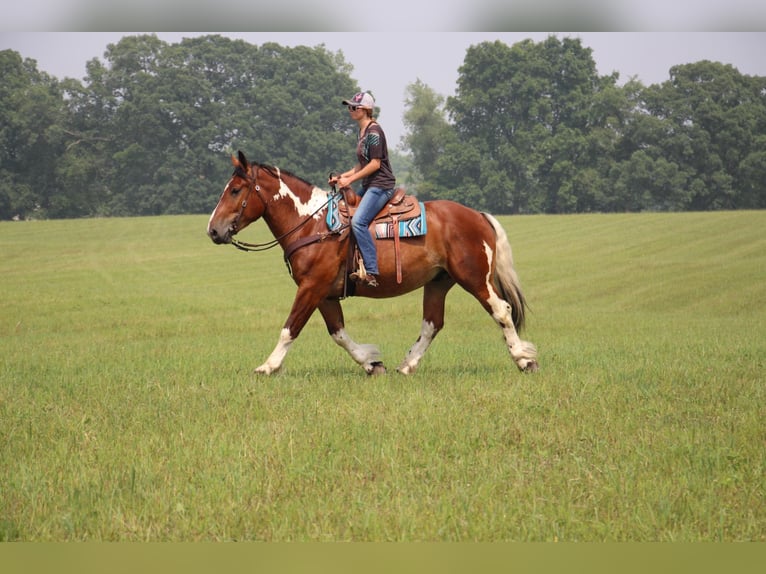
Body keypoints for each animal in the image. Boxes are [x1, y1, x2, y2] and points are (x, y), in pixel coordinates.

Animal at [207, 152, 536, 378]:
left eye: (235, 190)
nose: (213, 230)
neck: (312, 224)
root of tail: (478, 215)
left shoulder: (311, 288)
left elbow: (290, 328)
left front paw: (268, 366)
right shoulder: (323, 293)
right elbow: (338, 333)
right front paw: (371, 362)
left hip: (475, 278)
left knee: (501, 311)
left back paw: (524, 359)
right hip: (439, 282)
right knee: (432, 323)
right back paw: (407, 365)